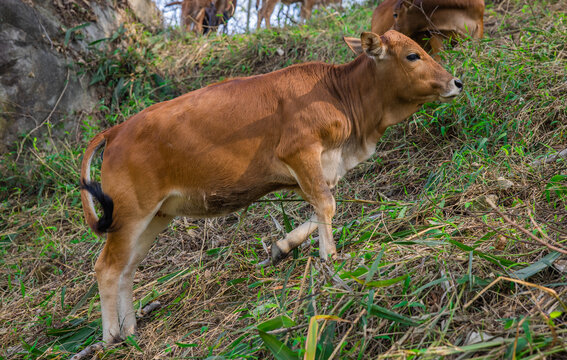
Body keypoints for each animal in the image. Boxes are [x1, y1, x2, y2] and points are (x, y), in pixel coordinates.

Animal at [79, 31, 462, 348]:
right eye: (412, 55)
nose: (456, 81)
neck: (340, 96)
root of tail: (115, 130)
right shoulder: (299, 151)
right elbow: (327, 204)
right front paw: (330, 257)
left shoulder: (315, 169)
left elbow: (321, 206)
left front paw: (283, 246)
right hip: (130, 214)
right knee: (107, 268)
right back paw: (111, 336)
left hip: (156, 215)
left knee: (128, 269)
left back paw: (130, 330)